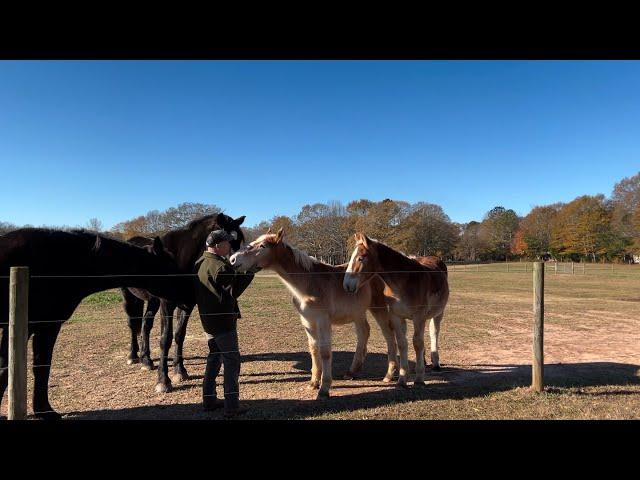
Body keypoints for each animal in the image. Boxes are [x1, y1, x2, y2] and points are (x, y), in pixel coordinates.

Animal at [0, 227, 191, 418]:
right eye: (171, 268)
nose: (190, 299)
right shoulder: (34, 327)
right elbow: (10, 368)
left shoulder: (45, 326)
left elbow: (39, 367)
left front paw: (43, 410)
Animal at [121, 214, 246, 394]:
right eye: (228, 240)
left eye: (239, 240)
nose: (236, 267)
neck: (180, 258)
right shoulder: (167, 305)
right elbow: (165, 339)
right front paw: (163, 381)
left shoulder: (187, 305)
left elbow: (180, 335)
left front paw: (179, 371)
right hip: (129, 296)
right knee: (132, 324)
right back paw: (133, 356)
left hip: (152, 301)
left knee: (145, 324)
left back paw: (146, 360)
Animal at [230, 228, 400, 398]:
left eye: (263, 246)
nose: (233, 259)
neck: (309, 282)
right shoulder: (307, 321)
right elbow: (313, 348)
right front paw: (313, 383)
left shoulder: (323, 320)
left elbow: (325, 352)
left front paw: (324, 388)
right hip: (358, 312)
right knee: (364, 332)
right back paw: (352, 372)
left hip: (378, 307)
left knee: (388, 334)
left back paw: (389, 375)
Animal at [344, 234, 450, 388]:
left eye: (360, 258)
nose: (347, 285)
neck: (403, 282)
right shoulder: (397, 317)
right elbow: (402, 344)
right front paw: (402, 379)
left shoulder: (419, 316)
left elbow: (417, 343)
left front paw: (419, 379)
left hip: (438, 313)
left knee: (433, 333)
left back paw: (435, 363)